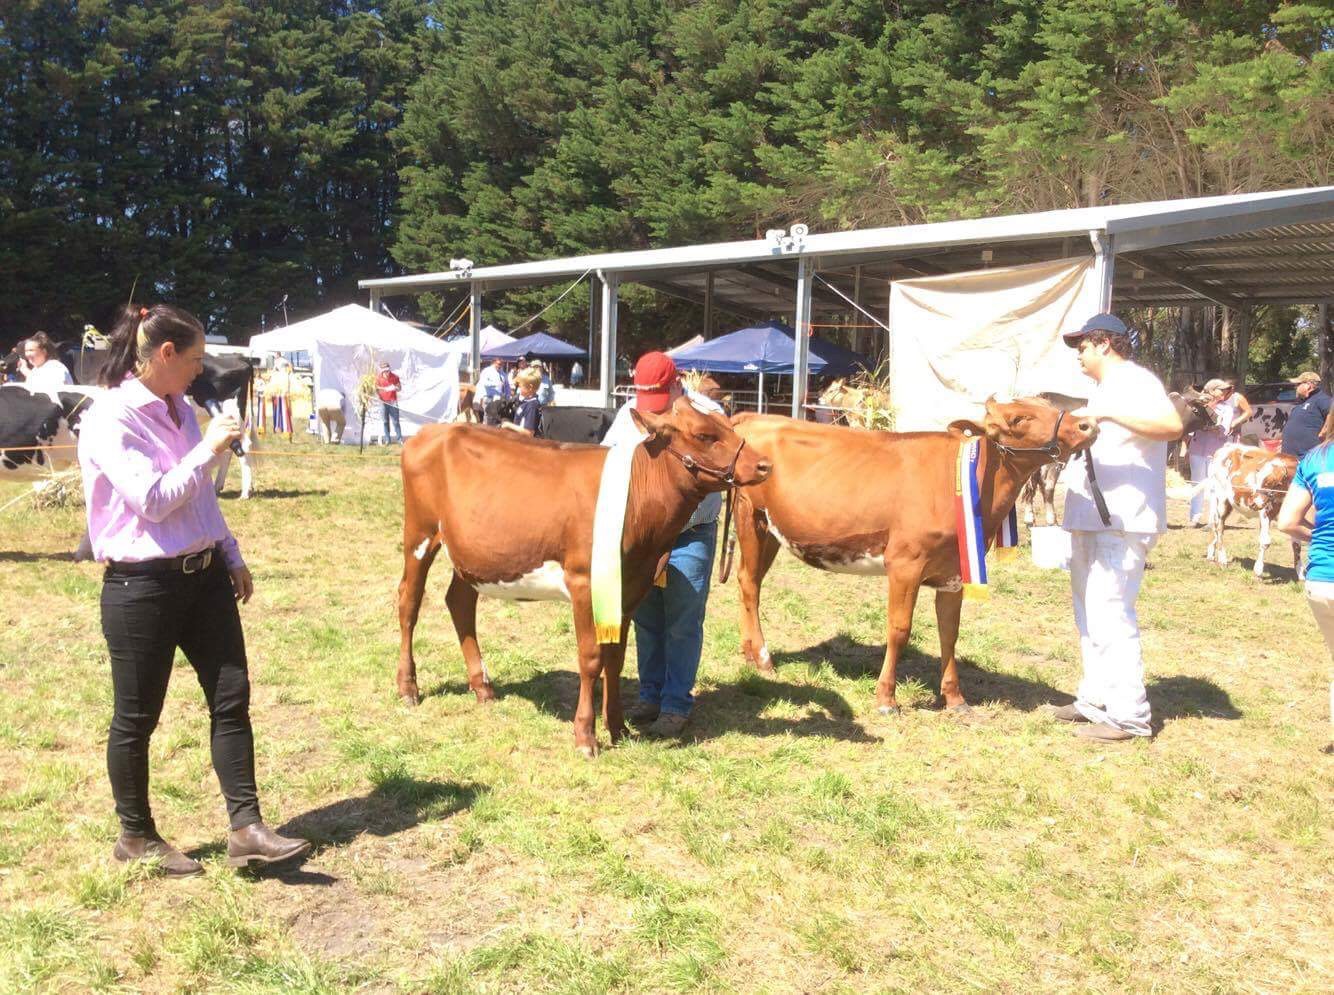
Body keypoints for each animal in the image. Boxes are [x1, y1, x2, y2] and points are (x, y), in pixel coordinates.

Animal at [394, 394, 773, 752]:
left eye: (728, 425)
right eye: (704, 435)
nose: (764, 465)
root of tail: (433, 430)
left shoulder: (630, 588)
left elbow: (615, 658)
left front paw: (618, 728)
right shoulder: (584, 583)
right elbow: (591, 660)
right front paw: (586, 735)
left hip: (472, 554)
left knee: (459, 602)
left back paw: (483, 687)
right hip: (419, 534)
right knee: (409, 601)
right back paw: (408, 687)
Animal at [731, 394, 1093, 714]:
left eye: (1048, 405)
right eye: (1019, 418)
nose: (1087, 424)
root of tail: (754, 417)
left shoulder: (954, 571)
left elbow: (949, 633)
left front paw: (955, 698)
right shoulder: (904, 563)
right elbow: (899, 629)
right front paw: (886, 699)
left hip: (772, 529)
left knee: (752, 581)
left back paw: (749, 653)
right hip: (751, 517)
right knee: (749, 583)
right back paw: (763, 659)